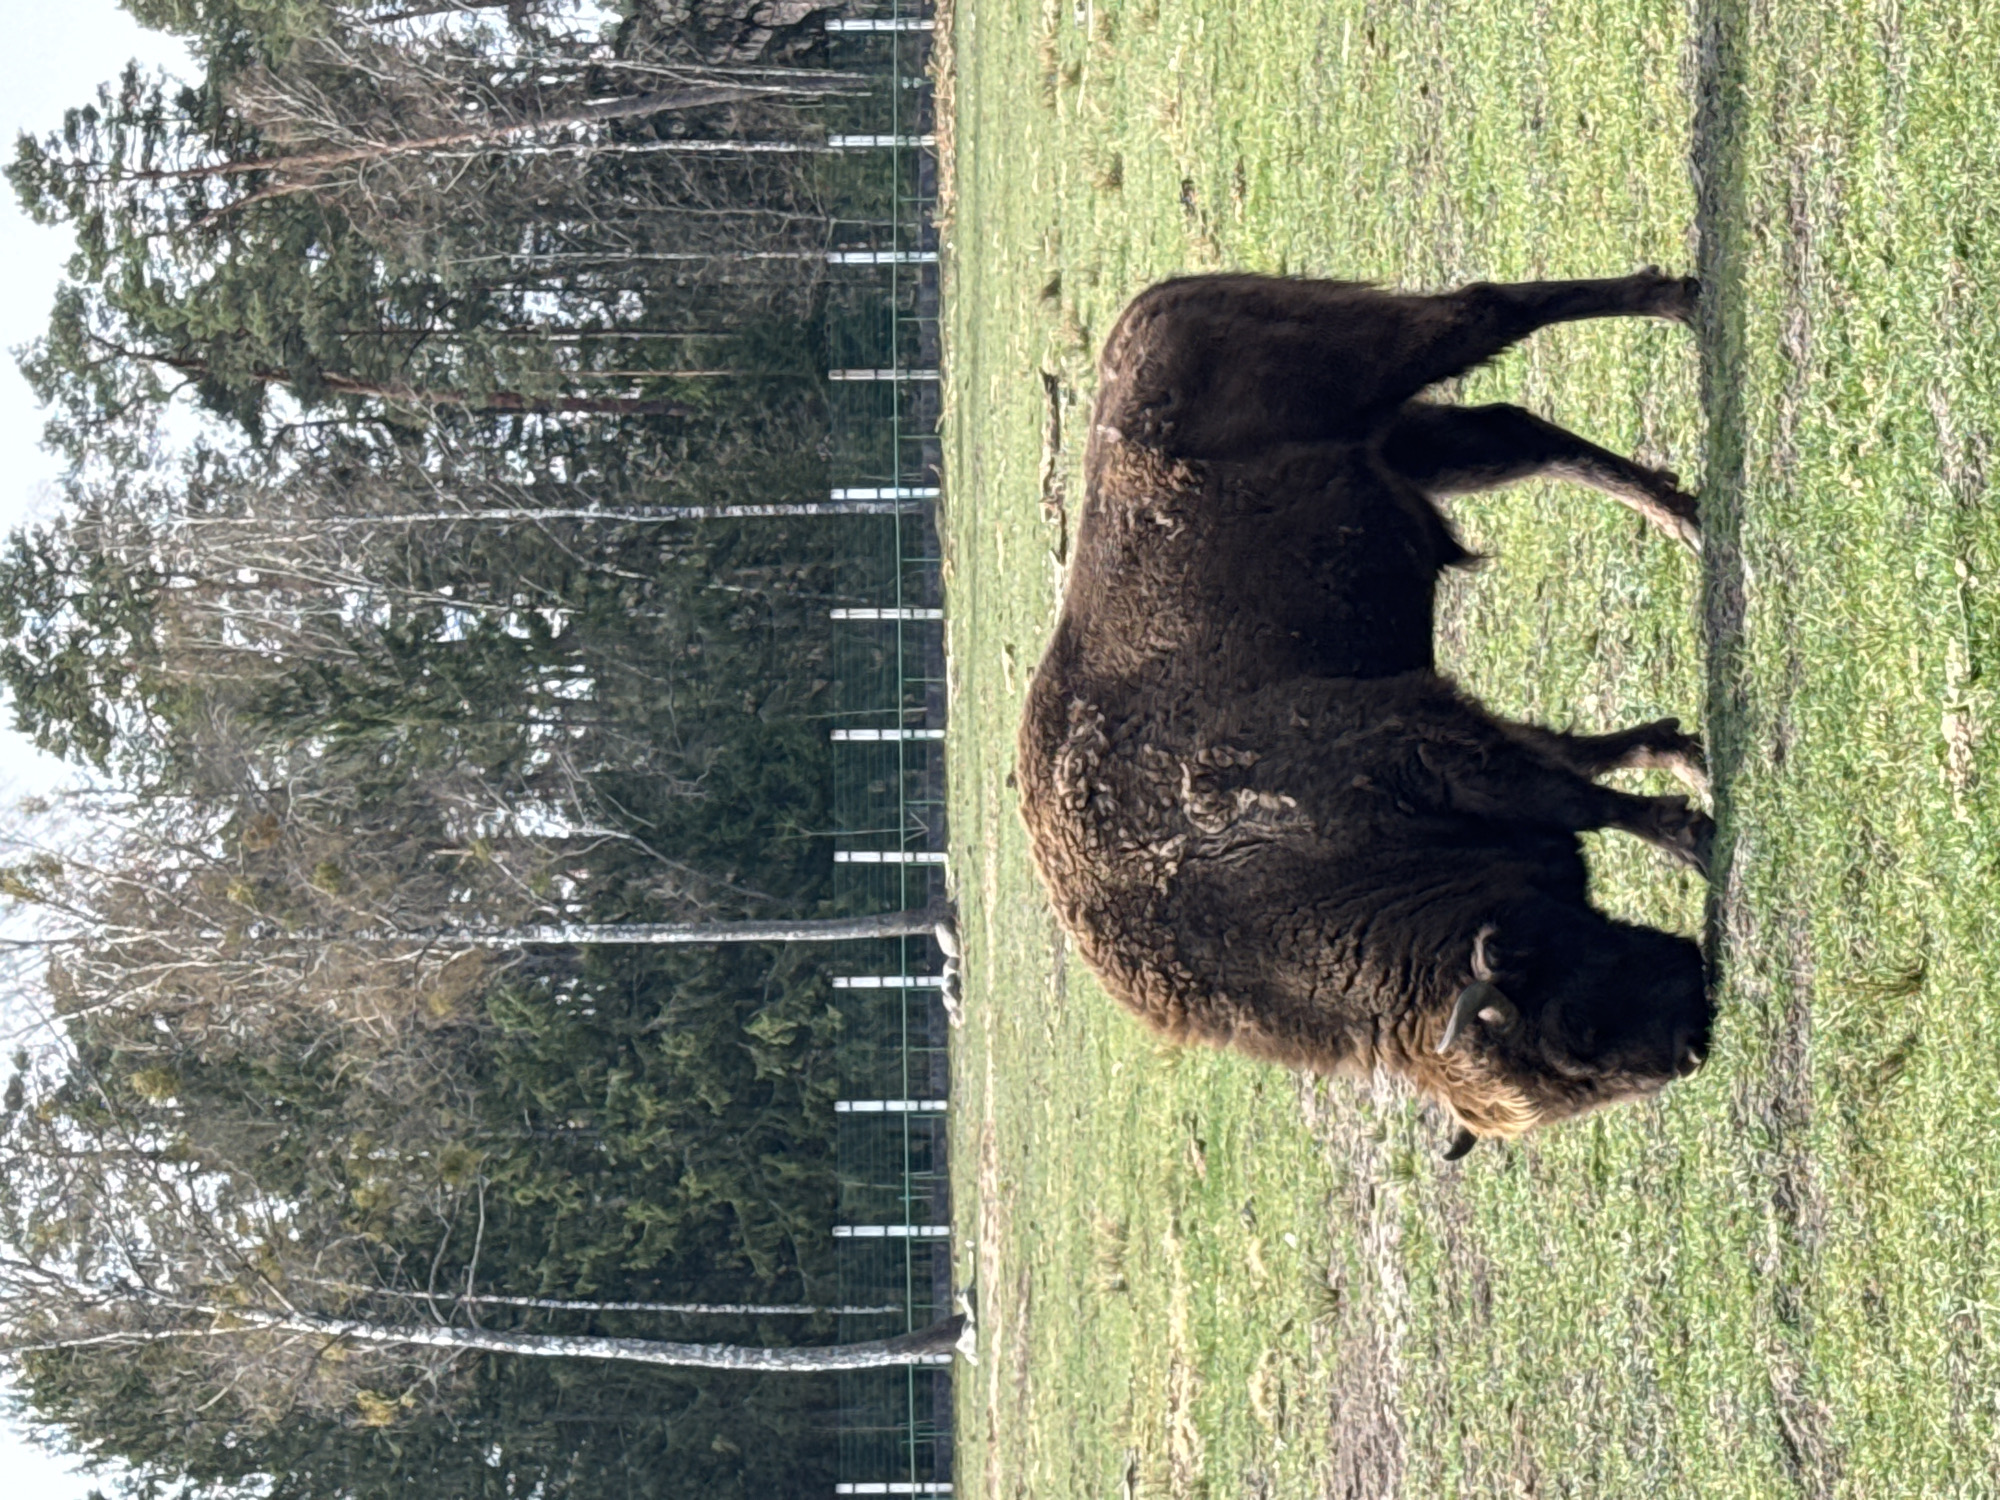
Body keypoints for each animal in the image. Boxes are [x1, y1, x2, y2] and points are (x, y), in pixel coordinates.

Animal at [1015, 271, 1714, 1157]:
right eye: (1577, 1040)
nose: (1693, 1041)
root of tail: (1156, 303)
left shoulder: (1423, 743)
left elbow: (1583, 795)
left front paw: (1697, 838)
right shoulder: (1446, 733)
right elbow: (1574, 765)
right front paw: (1680, 757)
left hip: (1389, 357)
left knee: (1495, 310)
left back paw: (1678, 309)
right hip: (1413, 447)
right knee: (1519, 432)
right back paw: (1682, 513)